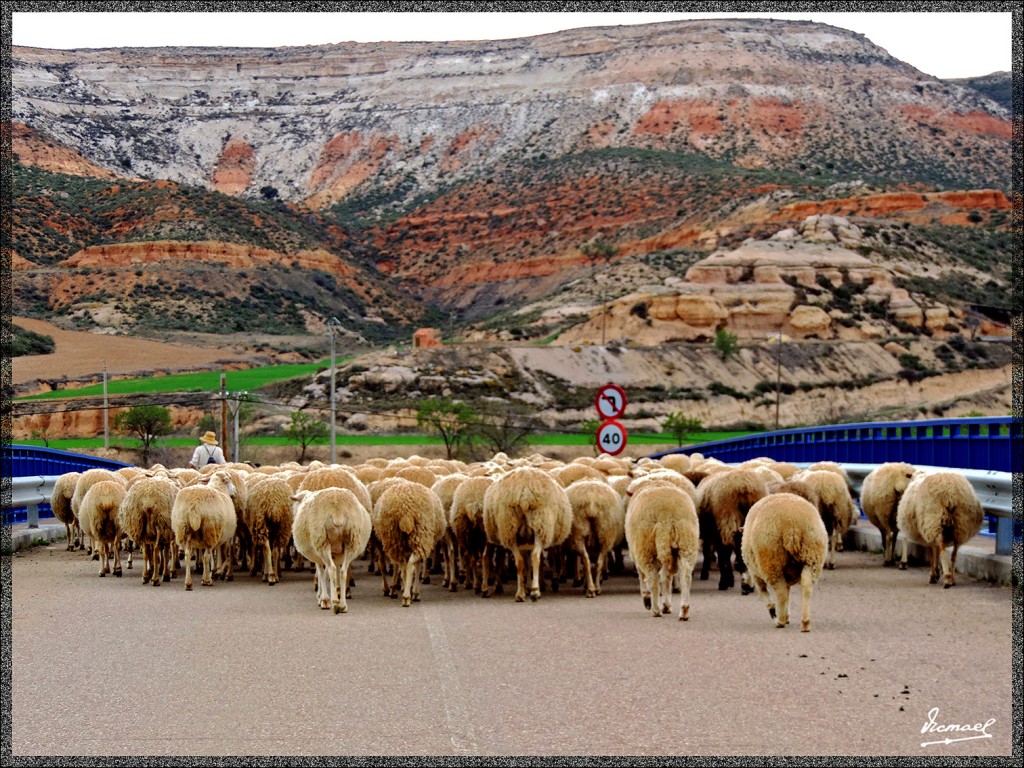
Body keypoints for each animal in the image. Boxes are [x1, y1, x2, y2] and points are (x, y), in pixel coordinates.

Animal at [481, 466, 573, 606]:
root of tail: (524, 491)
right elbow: (528, 562)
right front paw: (530, 587)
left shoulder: (524, 542)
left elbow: (526, 563)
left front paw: (527, 588)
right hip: (539, 524)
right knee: (532, 556)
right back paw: (534, 592)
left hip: (511, 528)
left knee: (519, 560)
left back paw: (521, 594)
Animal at [618, 489, 700, 622]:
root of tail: (668, 516)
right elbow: (667, 578)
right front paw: (666, 605)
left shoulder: (637, 553)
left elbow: (642, 576)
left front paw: (647, 599)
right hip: (687, 543)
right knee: (685, 576)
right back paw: (684, 610)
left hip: (647, 547)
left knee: (653, 578)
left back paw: (655, 610)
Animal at [741, 495, 827, 634]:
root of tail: (791, 525)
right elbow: (788, 594)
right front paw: (787, 616)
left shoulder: (756, 575)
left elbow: (765, 594)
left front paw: (776, 613)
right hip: (812, 555)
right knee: (806, 587)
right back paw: (805, 623)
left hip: (771, 560)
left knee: (780, 593)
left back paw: (779, 621)